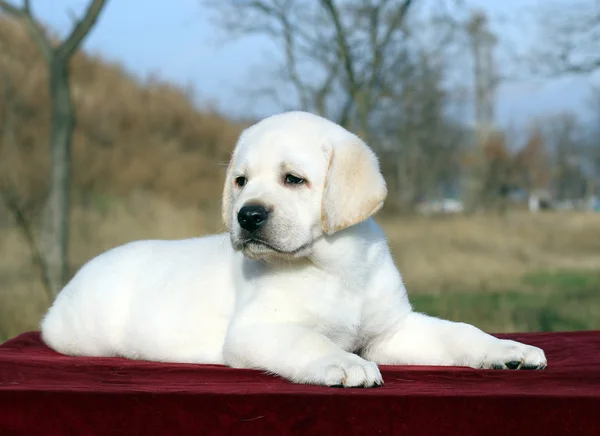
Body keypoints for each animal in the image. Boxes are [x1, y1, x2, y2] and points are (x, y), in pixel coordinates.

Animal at [41, 110, 548, 386]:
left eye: (294, 179)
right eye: (240, 181)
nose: (247, 215)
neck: (332, 266)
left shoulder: (392, 331)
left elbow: (460, 332)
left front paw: (508, 349)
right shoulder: (258, 330)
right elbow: (309, 340)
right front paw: (343, 363)